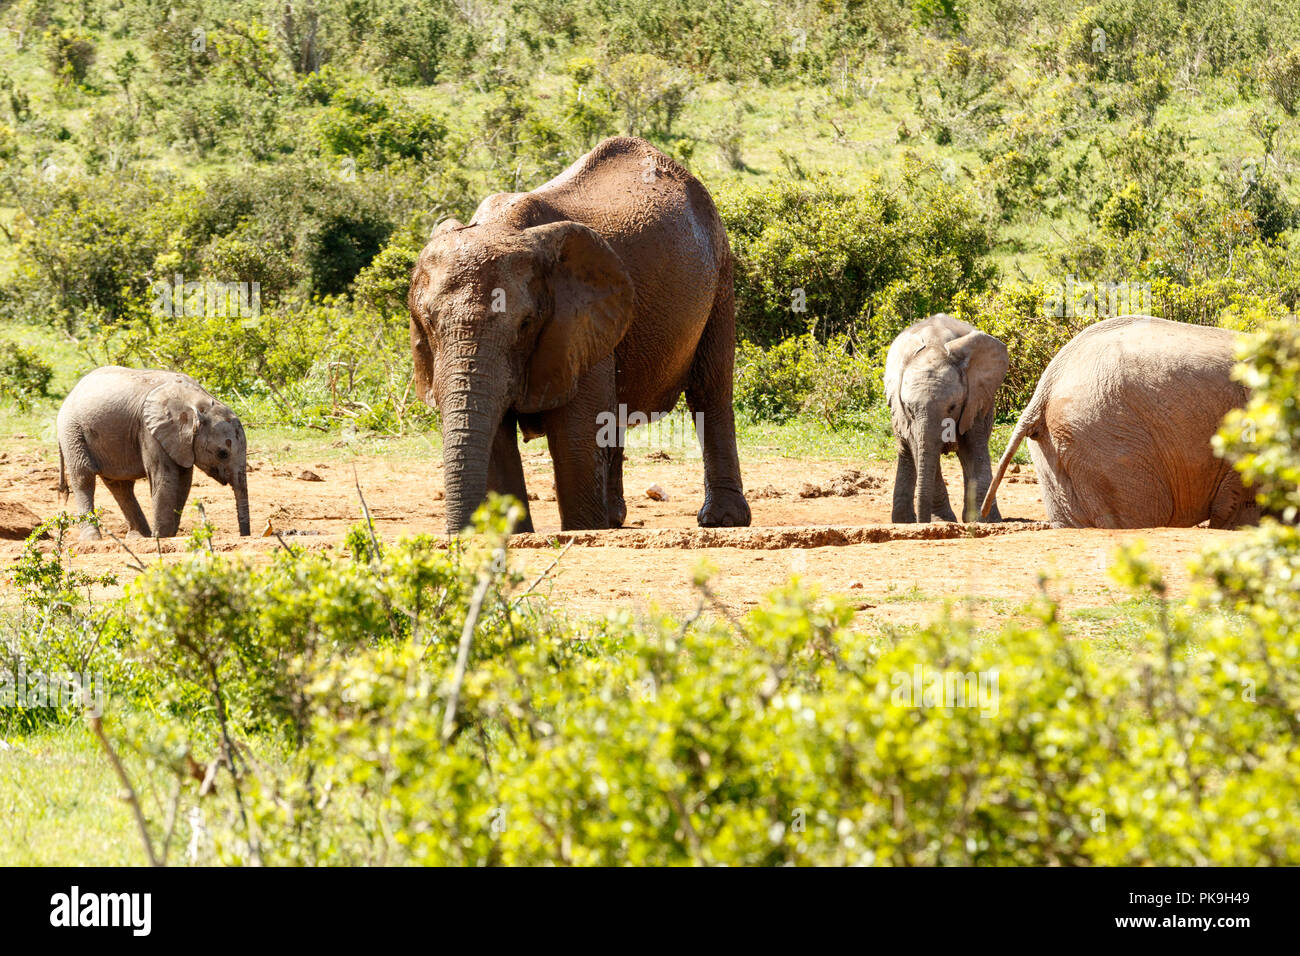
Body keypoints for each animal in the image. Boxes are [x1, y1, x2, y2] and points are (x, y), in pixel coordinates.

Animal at [55, 366, 249, 541]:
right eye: (222, 453)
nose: (244, 535)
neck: (198, 401)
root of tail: (73, 390)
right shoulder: (150, 430)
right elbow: (164, 477)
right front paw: (161, 536)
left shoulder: (180, 443)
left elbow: (184, 481)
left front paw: (166, 535)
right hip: (72, 430)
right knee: (84, 477)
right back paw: (93, 539)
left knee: (120, 486)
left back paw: (140, 537)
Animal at [405, 134, 754, 535]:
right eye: (427, 323)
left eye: (525, 324)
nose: (456, 535)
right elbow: (496, 438)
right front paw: (521, 535)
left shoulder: (579, 322)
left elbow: (574, 432)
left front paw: (581, 532)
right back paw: (613, 521)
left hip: (721, 270)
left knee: (709, 391)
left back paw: (721, 521)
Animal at [883, 314, 1013, 522]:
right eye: (910, 409)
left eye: (952, 407)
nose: (922, 523)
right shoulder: (907, 417)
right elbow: (920, 448)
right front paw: (943, 521)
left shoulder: (974, 397)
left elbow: (974, 448)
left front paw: (985, 521)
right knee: (906, 451)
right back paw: (904, 522)